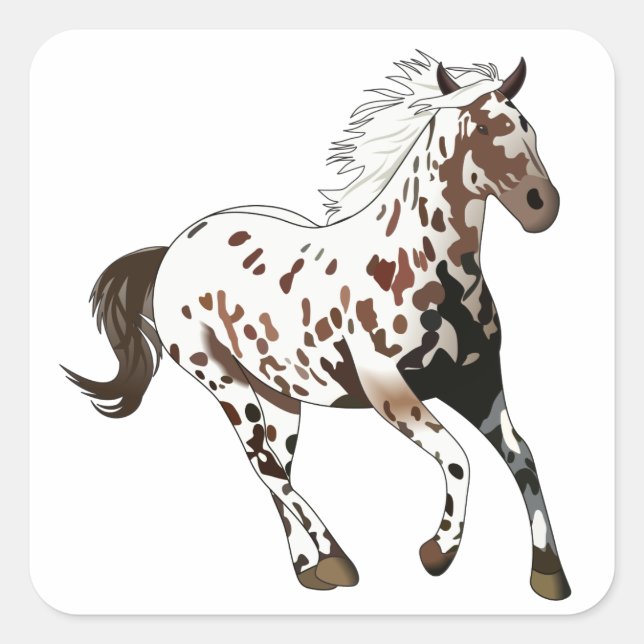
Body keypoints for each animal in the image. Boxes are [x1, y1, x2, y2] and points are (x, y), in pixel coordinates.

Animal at [63, 52, 570, 601]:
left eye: (528, 126)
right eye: (481, 127)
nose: (542, 205)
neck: (426, 269)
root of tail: (172, 249)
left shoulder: (477, 385)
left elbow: (522, 458)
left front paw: (549, 575)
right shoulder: (391, 393)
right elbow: (458, 459)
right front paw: (437, 553)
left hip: (280, 391)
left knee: (276, 465)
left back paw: (311, 568)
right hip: (221, 378)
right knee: (263, 465)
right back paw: (337, 560)